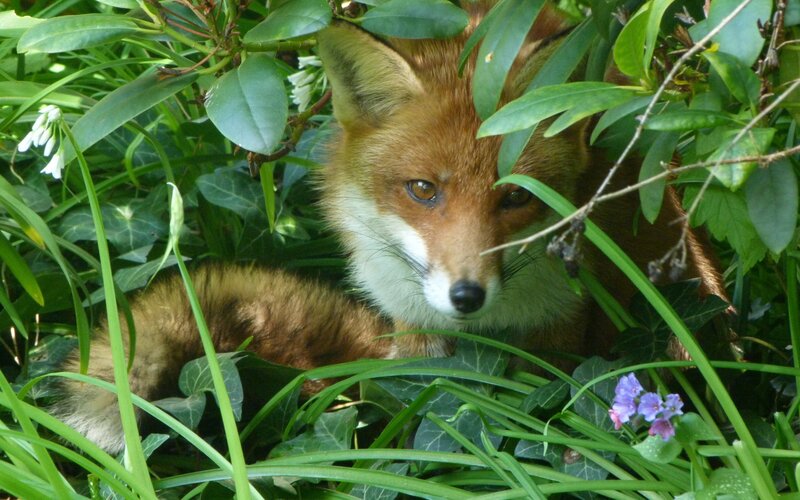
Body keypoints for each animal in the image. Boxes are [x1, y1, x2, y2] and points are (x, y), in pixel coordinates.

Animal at [53, 3, 725, 453]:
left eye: (515, 196)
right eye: (423, 190)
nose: (466, 295)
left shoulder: (559, 326)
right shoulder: (416, 330)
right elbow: (429, 415)